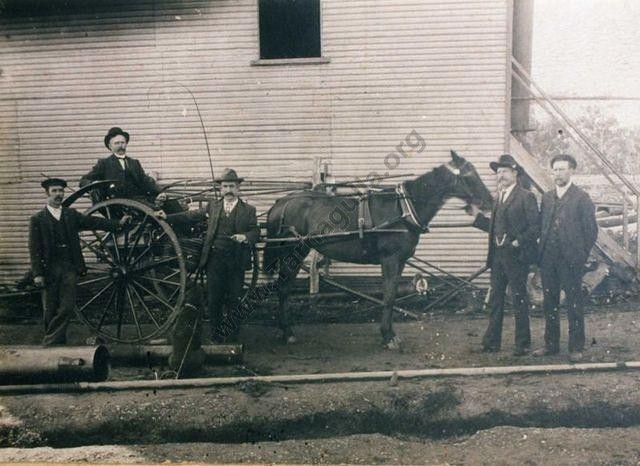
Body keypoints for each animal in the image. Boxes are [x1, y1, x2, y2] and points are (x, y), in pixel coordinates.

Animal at [262, 150, 492, 350]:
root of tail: (281, 203)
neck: (403, 209)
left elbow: (393, 294)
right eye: (469, 176)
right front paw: (388, 336)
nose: (489, 202)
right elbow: (389, 295)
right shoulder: (390, 259)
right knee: (283, 288)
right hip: (292, 252)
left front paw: (389, 333)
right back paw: (288, 332)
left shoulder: (400, 261)